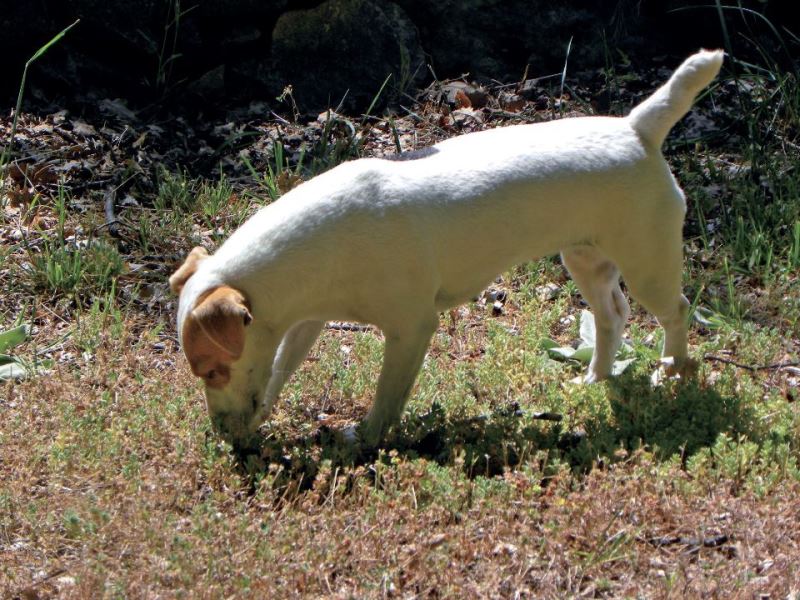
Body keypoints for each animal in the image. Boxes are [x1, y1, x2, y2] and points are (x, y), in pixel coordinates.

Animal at [170, 50, 724, 446]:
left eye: (213, 370)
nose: (223, 437)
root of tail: (637, 128)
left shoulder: (411, 328)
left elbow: (387, 396)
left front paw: (366, 438)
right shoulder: (306, 321)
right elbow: (279, 370)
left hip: (647, 261)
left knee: (675, 311)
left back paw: (672, 371)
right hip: (585, 259)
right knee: (613, 316)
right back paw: (595, 379)